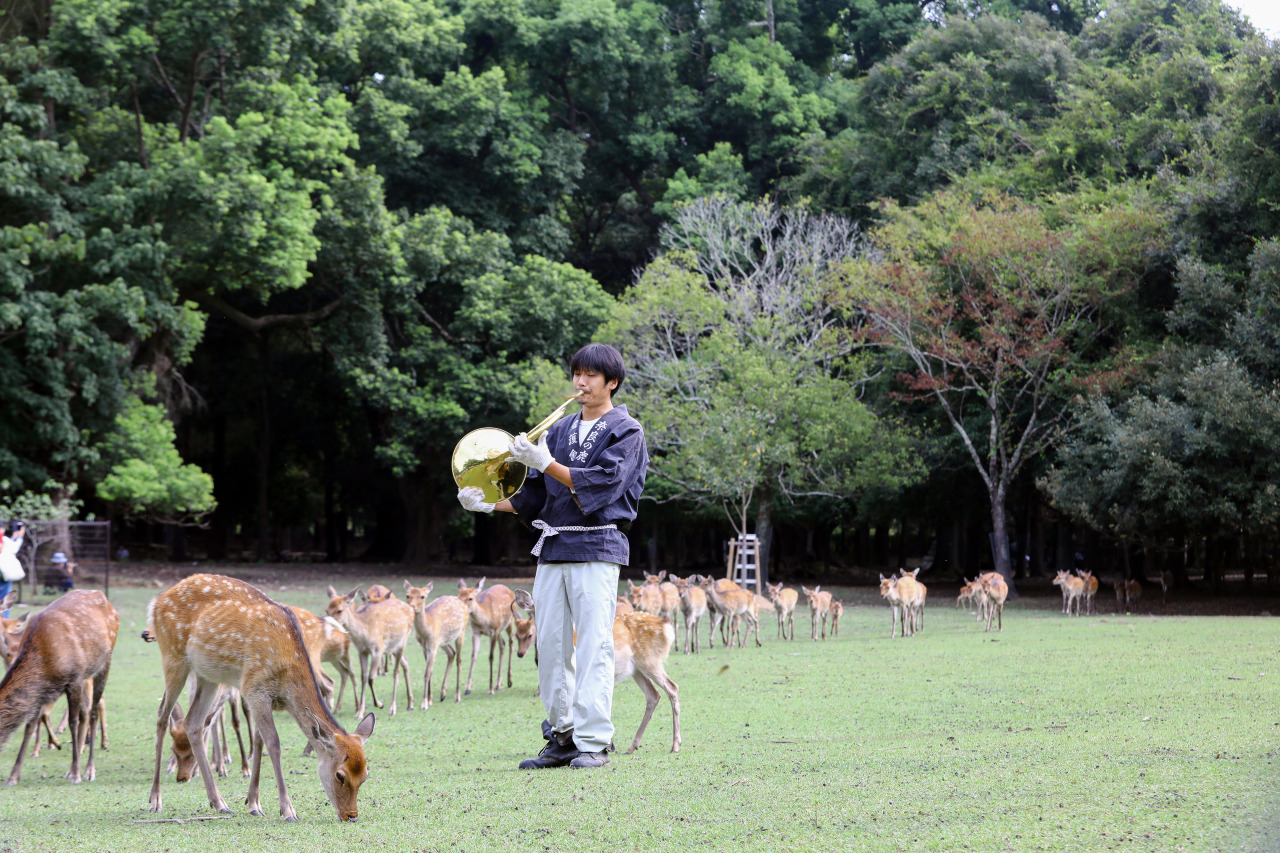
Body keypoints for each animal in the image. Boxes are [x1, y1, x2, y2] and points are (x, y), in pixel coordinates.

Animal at [0, 589, 118, 785]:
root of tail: (105, 597)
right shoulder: (41, 692)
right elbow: (30, 725)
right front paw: (13, 776)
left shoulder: (74, 678)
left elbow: (73, 722)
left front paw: (77, 774)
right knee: (87, 711)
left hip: (103, 663)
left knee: (93, 712)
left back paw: (89, 770)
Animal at [326, 585, 415, 717]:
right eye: (327, 610)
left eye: (339, 610)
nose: (328, 625)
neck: (363, 633)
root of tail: (411, 609)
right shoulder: (362, 651)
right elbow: (363, 677)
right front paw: (360, 712)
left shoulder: (378, 649)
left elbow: (371, 678)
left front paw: (379, 704)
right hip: (393, 647)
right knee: (406, 662)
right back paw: (410, 704)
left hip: (403, 641)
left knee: (396, 671)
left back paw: (392, 708)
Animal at [403, 581, 469, 709]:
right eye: (407, 595)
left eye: (422, 596)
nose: (412, 607)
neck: (426, 631)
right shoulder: (424, 647)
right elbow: (430, 672)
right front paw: (429, 700)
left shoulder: (433, 646)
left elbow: (426, 673)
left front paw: (424, 704)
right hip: (443, 641)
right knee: (451, 653)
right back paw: (443, 694)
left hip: (461, 632)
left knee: (459, 660)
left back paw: (457, 696)